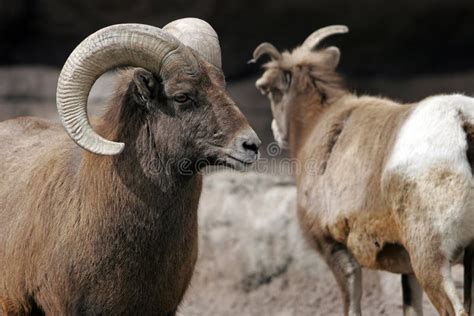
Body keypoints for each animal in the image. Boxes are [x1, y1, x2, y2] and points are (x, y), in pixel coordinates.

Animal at [254, 25, 474, 316]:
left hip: (431, 261)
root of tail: (461, 121)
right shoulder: (407, 268)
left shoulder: (335, 249)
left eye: (269, 91)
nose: (277, 134)